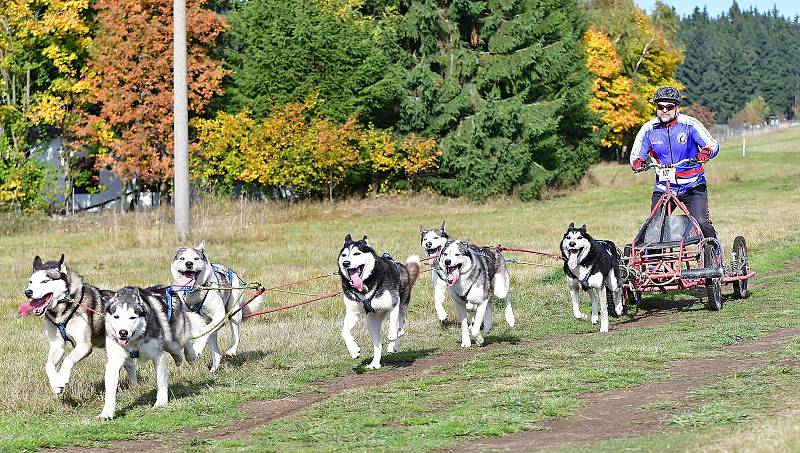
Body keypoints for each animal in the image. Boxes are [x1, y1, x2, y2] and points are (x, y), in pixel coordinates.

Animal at [21, 256, 138, 394]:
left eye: (45, 281)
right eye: (30, 282)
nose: (28, 292)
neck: (62, 313)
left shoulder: (84, 345)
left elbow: (68, 359)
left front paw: (61, 380)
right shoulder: (57, 345)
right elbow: (48, 365)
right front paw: (55, 384)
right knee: (129, 364)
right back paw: (134, 386)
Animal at [97, 286, 206, 420]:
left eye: (132, 317)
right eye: (116, 316)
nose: (123, 332)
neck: (134, 341)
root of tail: (167, 288)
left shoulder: (157, 356)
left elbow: (161, 381)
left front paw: (161, 402)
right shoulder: (114, 360)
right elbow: (110, 390)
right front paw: (107, 412)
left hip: (175, 339)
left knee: (185, 339)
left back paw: (190, 356)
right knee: (175, 350)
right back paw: (179, 358)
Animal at [170, 240, 264, 370]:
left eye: (196, 258)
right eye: (182, 258)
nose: (189, 263)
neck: (195, 291)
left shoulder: (219, 315)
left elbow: (204, 332)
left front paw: (197, 348)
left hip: (234, 311)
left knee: (235, 334)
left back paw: (231, 350)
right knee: (215, 348)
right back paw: (214, 368)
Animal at [338, 235, 422, 370]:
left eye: (357, 253)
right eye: (344, 255)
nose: (346, 263)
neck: (365, 286)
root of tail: (402, 267)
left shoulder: (393, 304)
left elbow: (393, 330)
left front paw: (392, 343)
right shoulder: (352, 312)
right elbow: (344, 332)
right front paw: (354, 350)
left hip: (401, 306)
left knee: (400, 327)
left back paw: (394, 346)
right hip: (371, 321)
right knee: (378, 343)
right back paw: (375, 363)